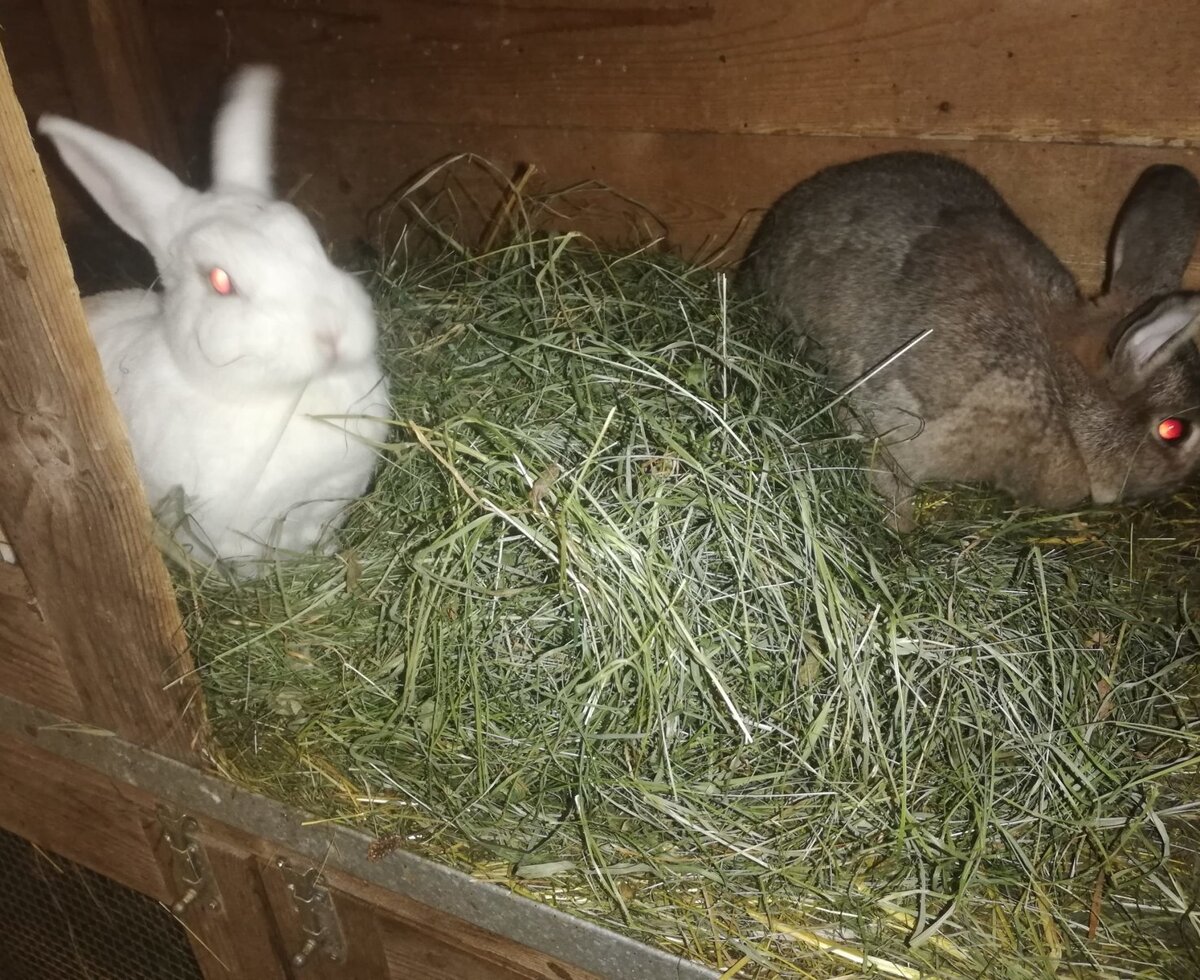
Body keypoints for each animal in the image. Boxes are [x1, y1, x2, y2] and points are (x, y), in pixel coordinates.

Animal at [739, 151, 1200, 529]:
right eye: (1173, 430)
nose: (1174, 488)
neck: (1059, 389)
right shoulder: (893, 423)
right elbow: (889, 479)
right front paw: (902, 532)